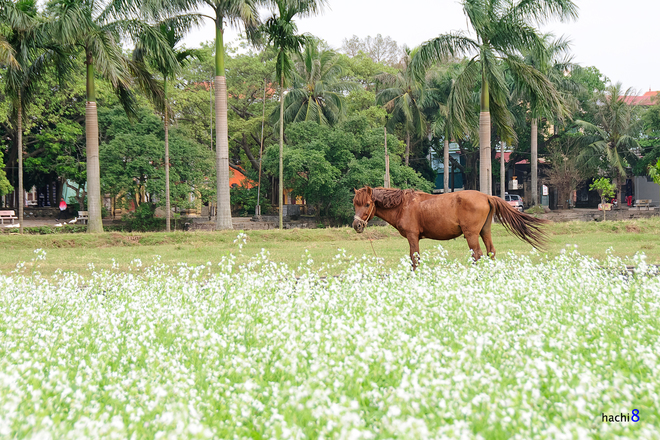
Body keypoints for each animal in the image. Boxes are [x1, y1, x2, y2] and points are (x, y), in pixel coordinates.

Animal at [354, 186, 548, 266]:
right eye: (355, 203)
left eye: (367, 204)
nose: (356, 225)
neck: (404, 205)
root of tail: (487, 196)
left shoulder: (412, 236)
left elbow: (414, 258)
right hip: (485, 231)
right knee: (490, 252)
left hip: (471, 235)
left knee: (477, 254)